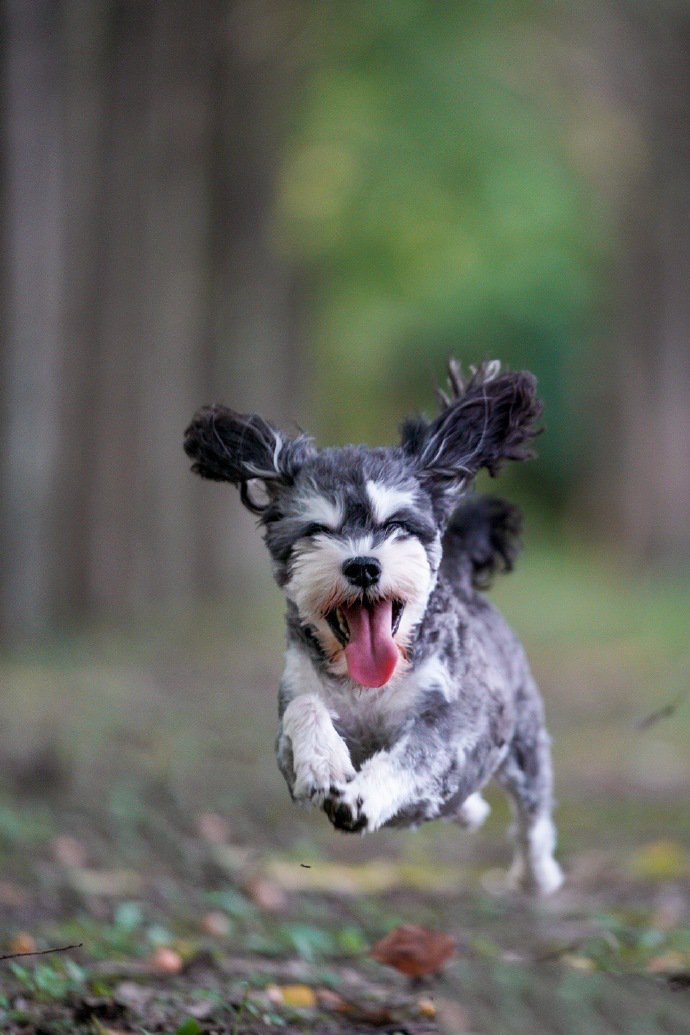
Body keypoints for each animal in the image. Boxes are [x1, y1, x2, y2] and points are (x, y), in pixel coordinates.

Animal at [185, 360, 566, 894]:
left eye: (397, 524)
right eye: (317, 530)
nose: (363, 565)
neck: (369, 687)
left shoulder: (461, 716)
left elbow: (418, 755)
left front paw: (360, 800)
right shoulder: (288, 724)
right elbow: (303, 710)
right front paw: (323, 763)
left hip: (525, 741)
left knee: (532, 814)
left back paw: (536, 874)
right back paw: (466, 811)